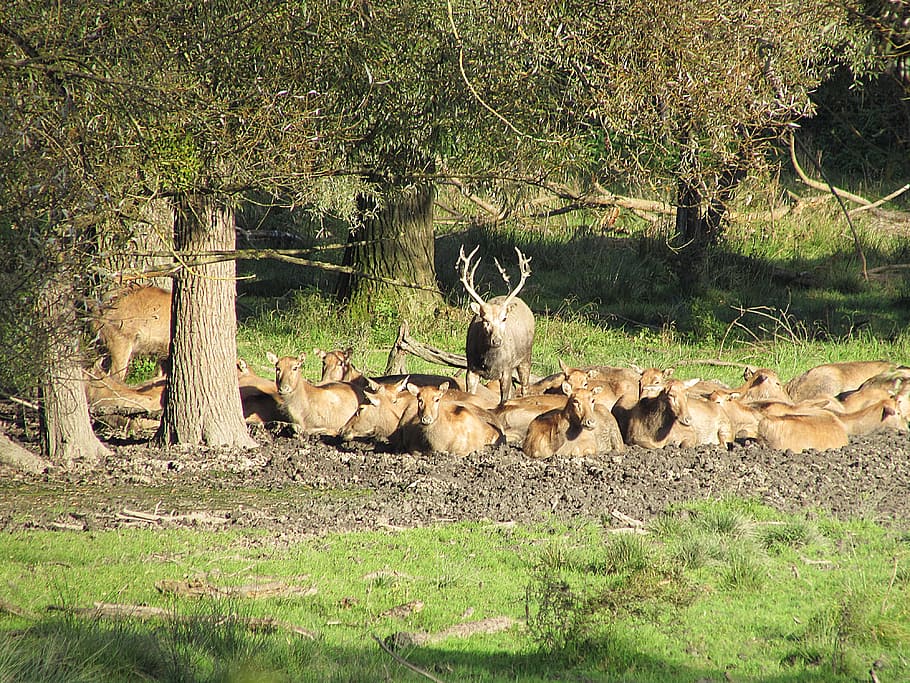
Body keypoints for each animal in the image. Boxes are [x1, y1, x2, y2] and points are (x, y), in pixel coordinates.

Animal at [458, 245, 535, 405]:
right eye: (484, 319)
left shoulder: (506, 368)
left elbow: (503, 400)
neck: (490, 362)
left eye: (504, 318)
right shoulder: (471, 368)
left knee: (524, 387)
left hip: (526, 357)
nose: (497, 341)